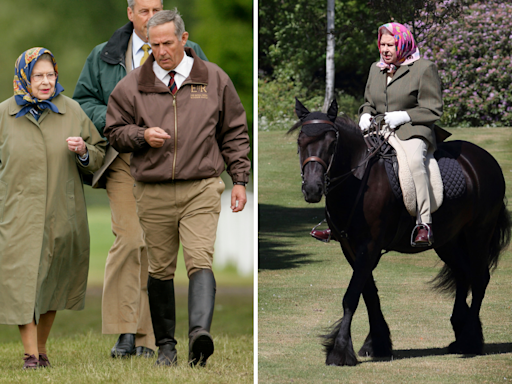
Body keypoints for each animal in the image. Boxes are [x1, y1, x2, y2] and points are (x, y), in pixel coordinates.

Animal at [290, 98, 510, 366]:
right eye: (300, 142)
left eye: (332, 143)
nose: (312, 189)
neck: (358, 178)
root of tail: (484, 159)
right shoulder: (350, 247)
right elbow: (369, 293)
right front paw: (377, 343)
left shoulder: (369, 246)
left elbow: (351, 296)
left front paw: (340, 350)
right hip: (447, 240)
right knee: (463, 274)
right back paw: (461, 332)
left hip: (478, 233)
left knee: (479, 279)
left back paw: (470, 339)